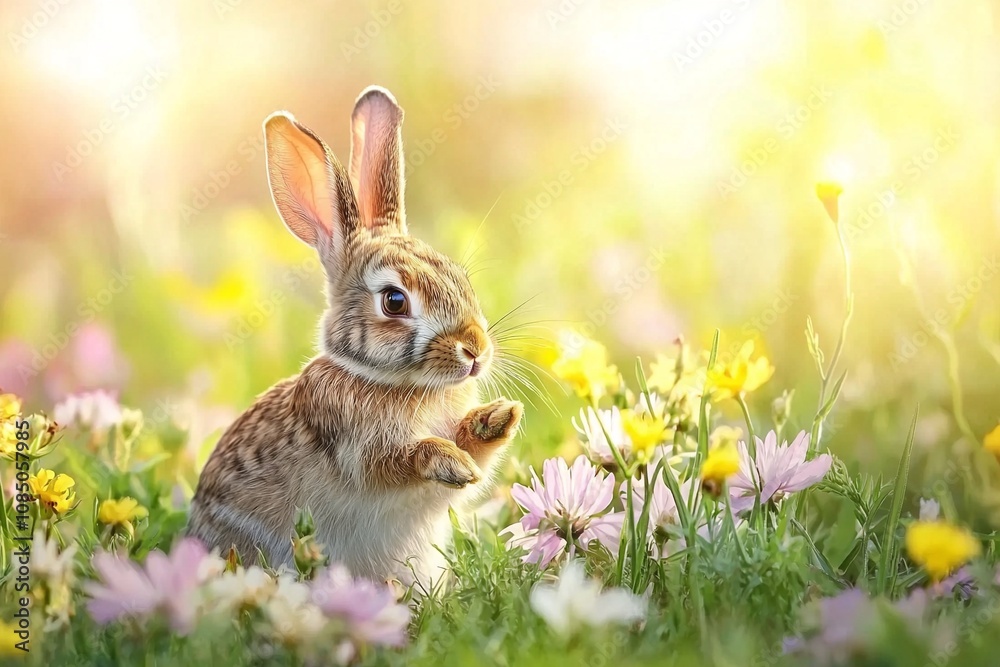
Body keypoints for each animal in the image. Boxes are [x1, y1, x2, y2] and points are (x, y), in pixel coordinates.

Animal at [187, 86, 523, 587]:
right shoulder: (355, 448)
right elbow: (398, 461)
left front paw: (496, 418)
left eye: (460, 278)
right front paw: (449, 460)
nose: (476, 351)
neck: (392, 383)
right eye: (395, 301)